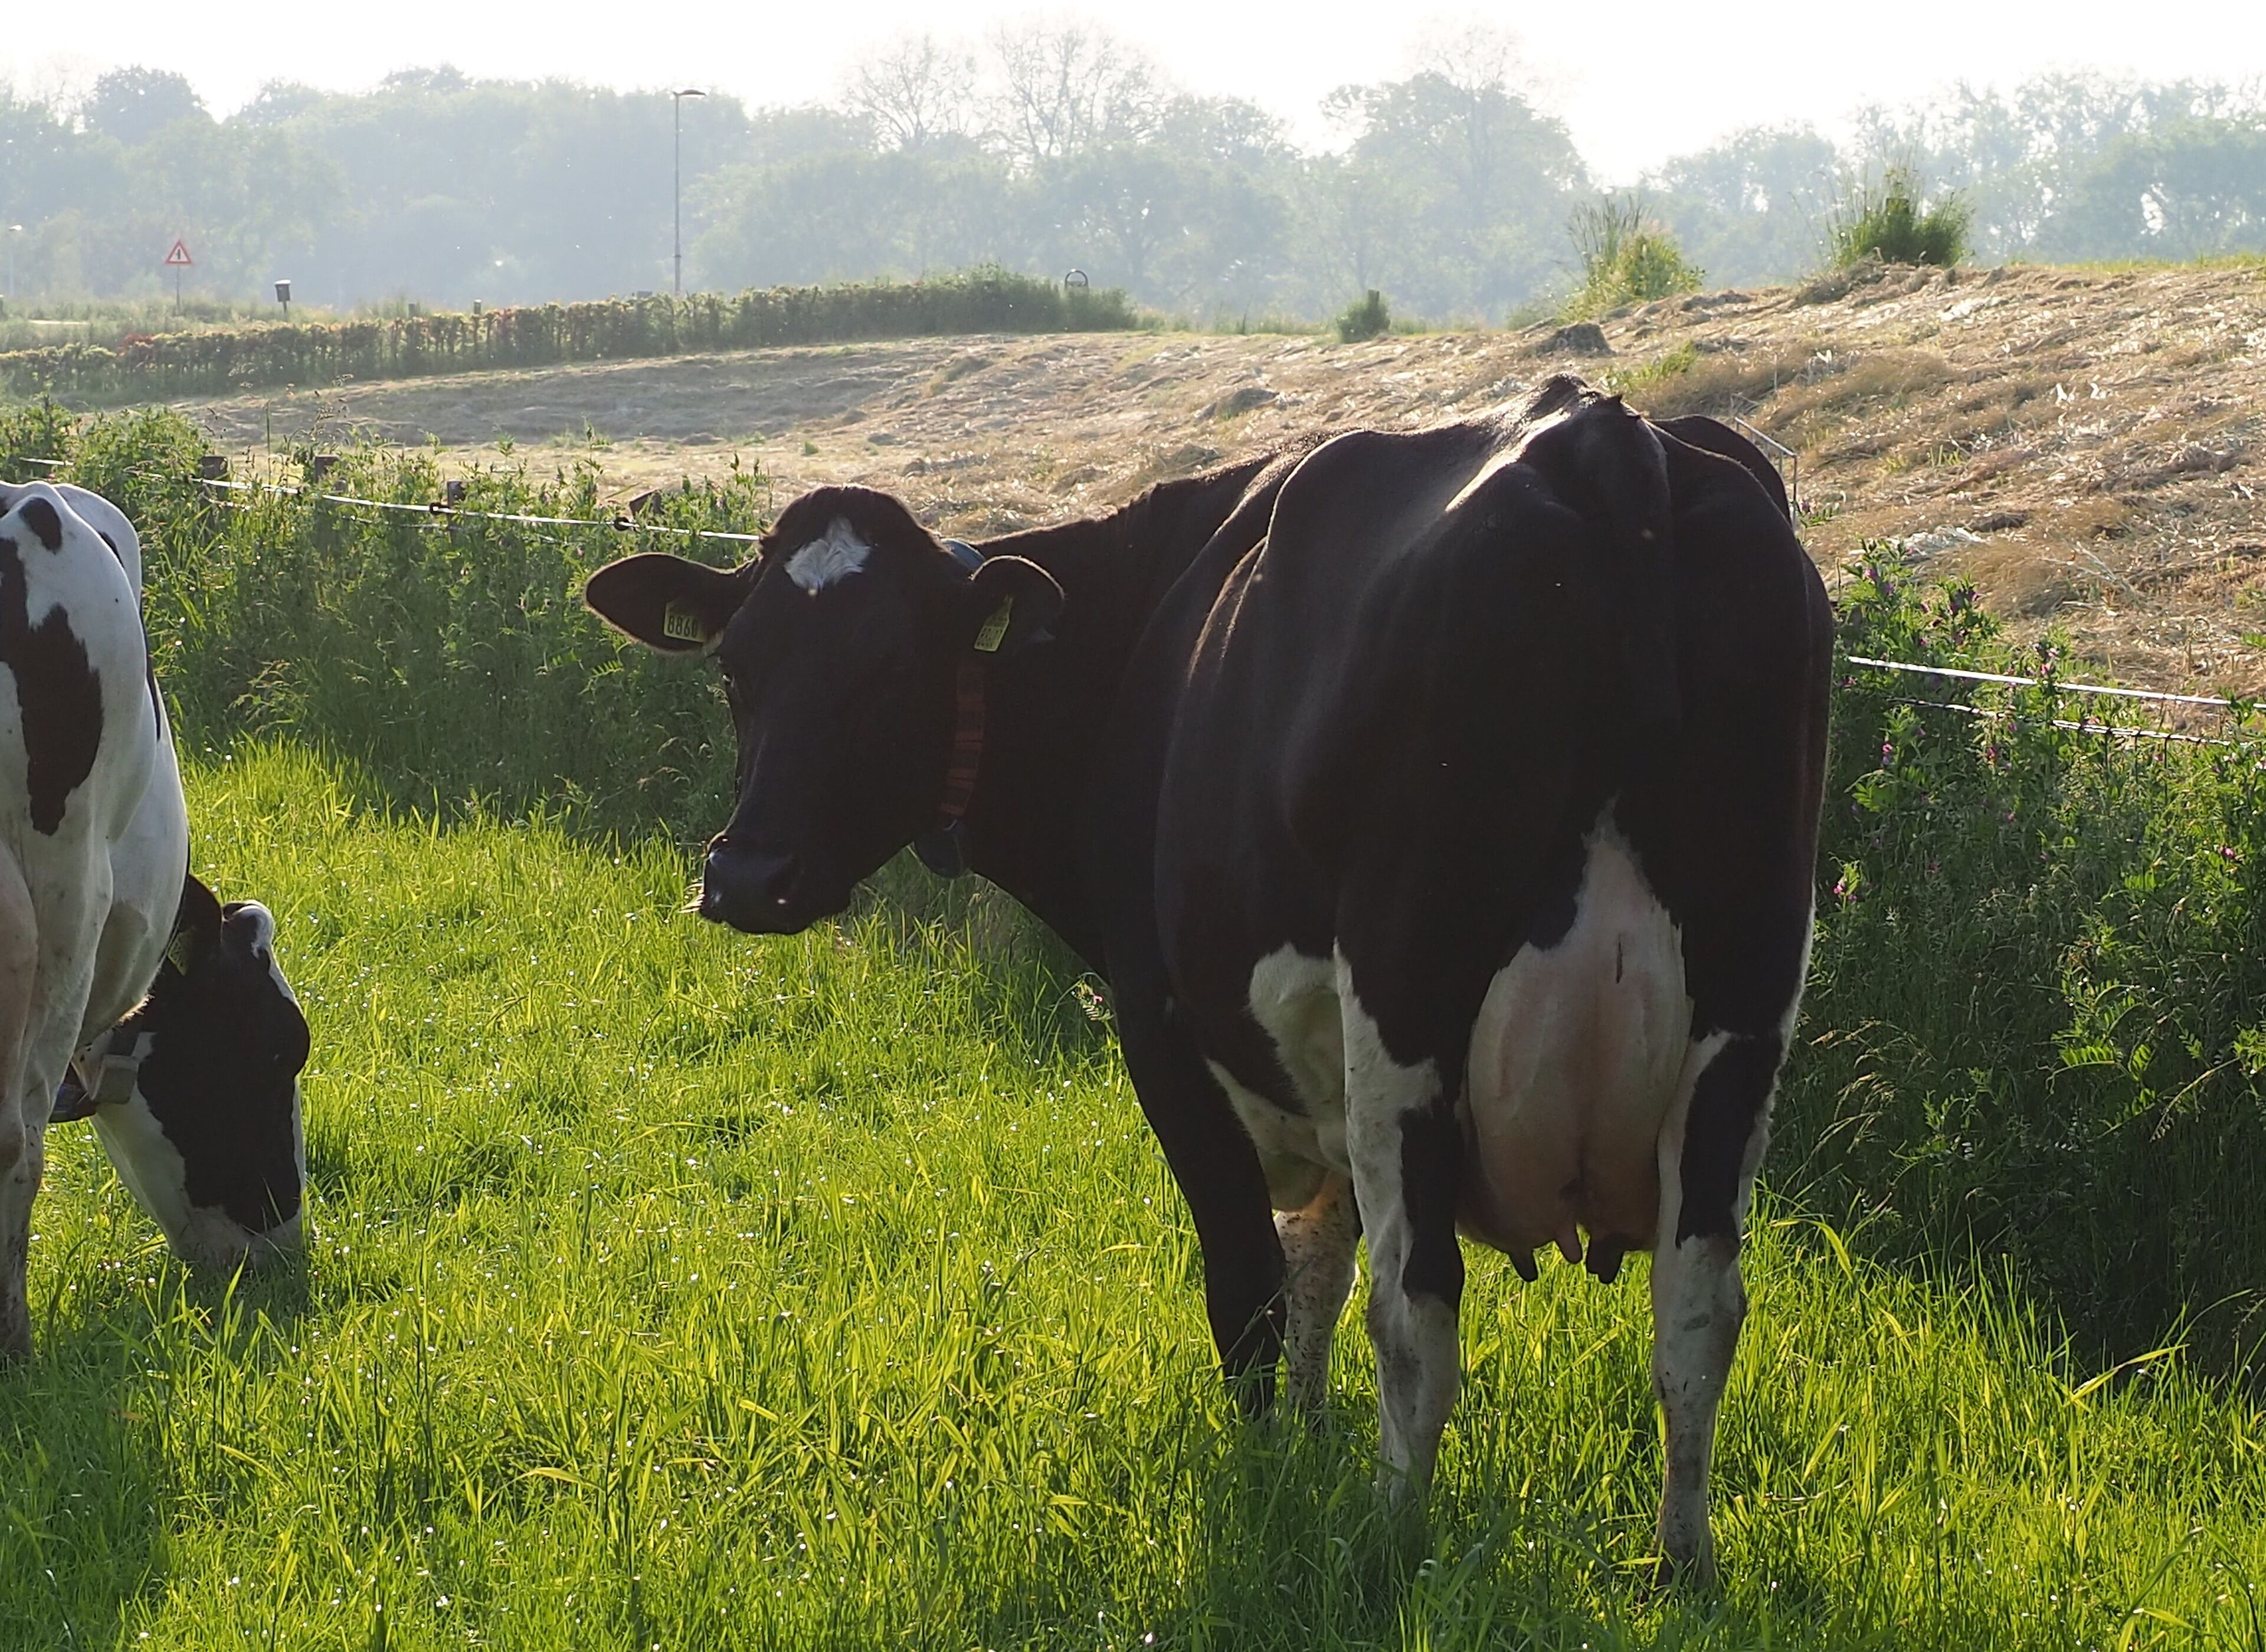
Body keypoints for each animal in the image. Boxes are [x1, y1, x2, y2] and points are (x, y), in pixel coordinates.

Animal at [584, 376, 1831, 1582]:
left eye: (893, 668)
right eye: (738, 666)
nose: (748, 875)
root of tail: (1601, 438)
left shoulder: (1166, 1031)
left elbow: (1251, 1288)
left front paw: (1271, 1480)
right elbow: (1318, 1267)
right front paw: (1312, 1448)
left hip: (1407, 992)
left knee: (1420, 1309)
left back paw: (1394, 1545)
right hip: (1744, 1004)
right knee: (1697, 1314)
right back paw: (1680, 1567)